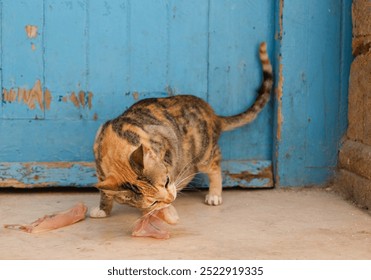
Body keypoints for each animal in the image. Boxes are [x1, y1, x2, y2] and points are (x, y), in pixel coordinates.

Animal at [90, 42, 274, 221]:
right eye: (153, 201)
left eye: (166, 181)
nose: (171, 198)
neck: (114, 146)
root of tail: (212, 114)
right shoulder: (101, 172)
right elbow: (105, 192)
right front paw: (103, 209)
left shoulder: (166, 144)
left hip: (202, 151)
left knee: (214, 165)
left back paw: (213, 194)